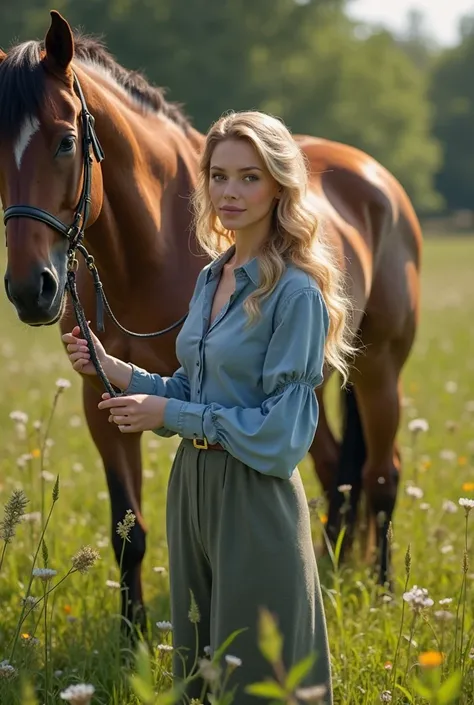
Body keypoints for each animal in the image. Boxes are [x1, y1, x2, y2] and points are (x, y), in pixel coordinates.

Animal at [0, 12, 422, 628]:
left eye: (66, 141)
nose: (32, 291)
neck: (151, 248)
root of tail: (376, 179)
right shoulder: (98, 395)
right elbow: (127, 532)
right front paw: (131, 638)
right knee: (330, 473)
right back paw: (330, 574)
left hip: (380, 371)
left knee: (382, 475)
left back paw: (387, 593)